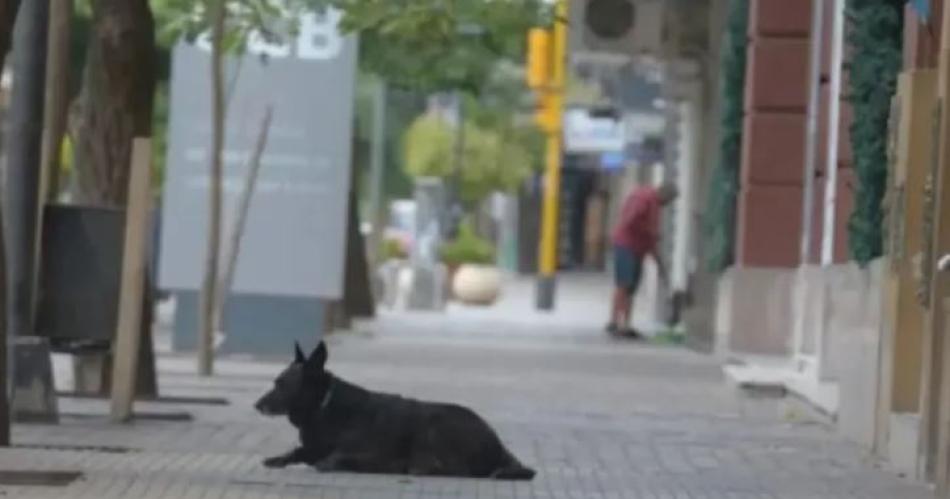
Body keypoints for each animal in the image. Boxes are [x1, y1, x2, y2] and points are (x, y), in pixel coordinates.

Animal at [253, 340, 536, 480]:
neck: (324, 407)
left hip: (435, 423)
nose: (256, 405)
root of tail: (499, 446)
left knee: (459, 470)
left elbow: (335, 457)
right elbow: (296, 452)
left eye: (281, 385)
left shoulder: (370, 453)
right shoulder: (311, 447)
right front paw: (279, 458)